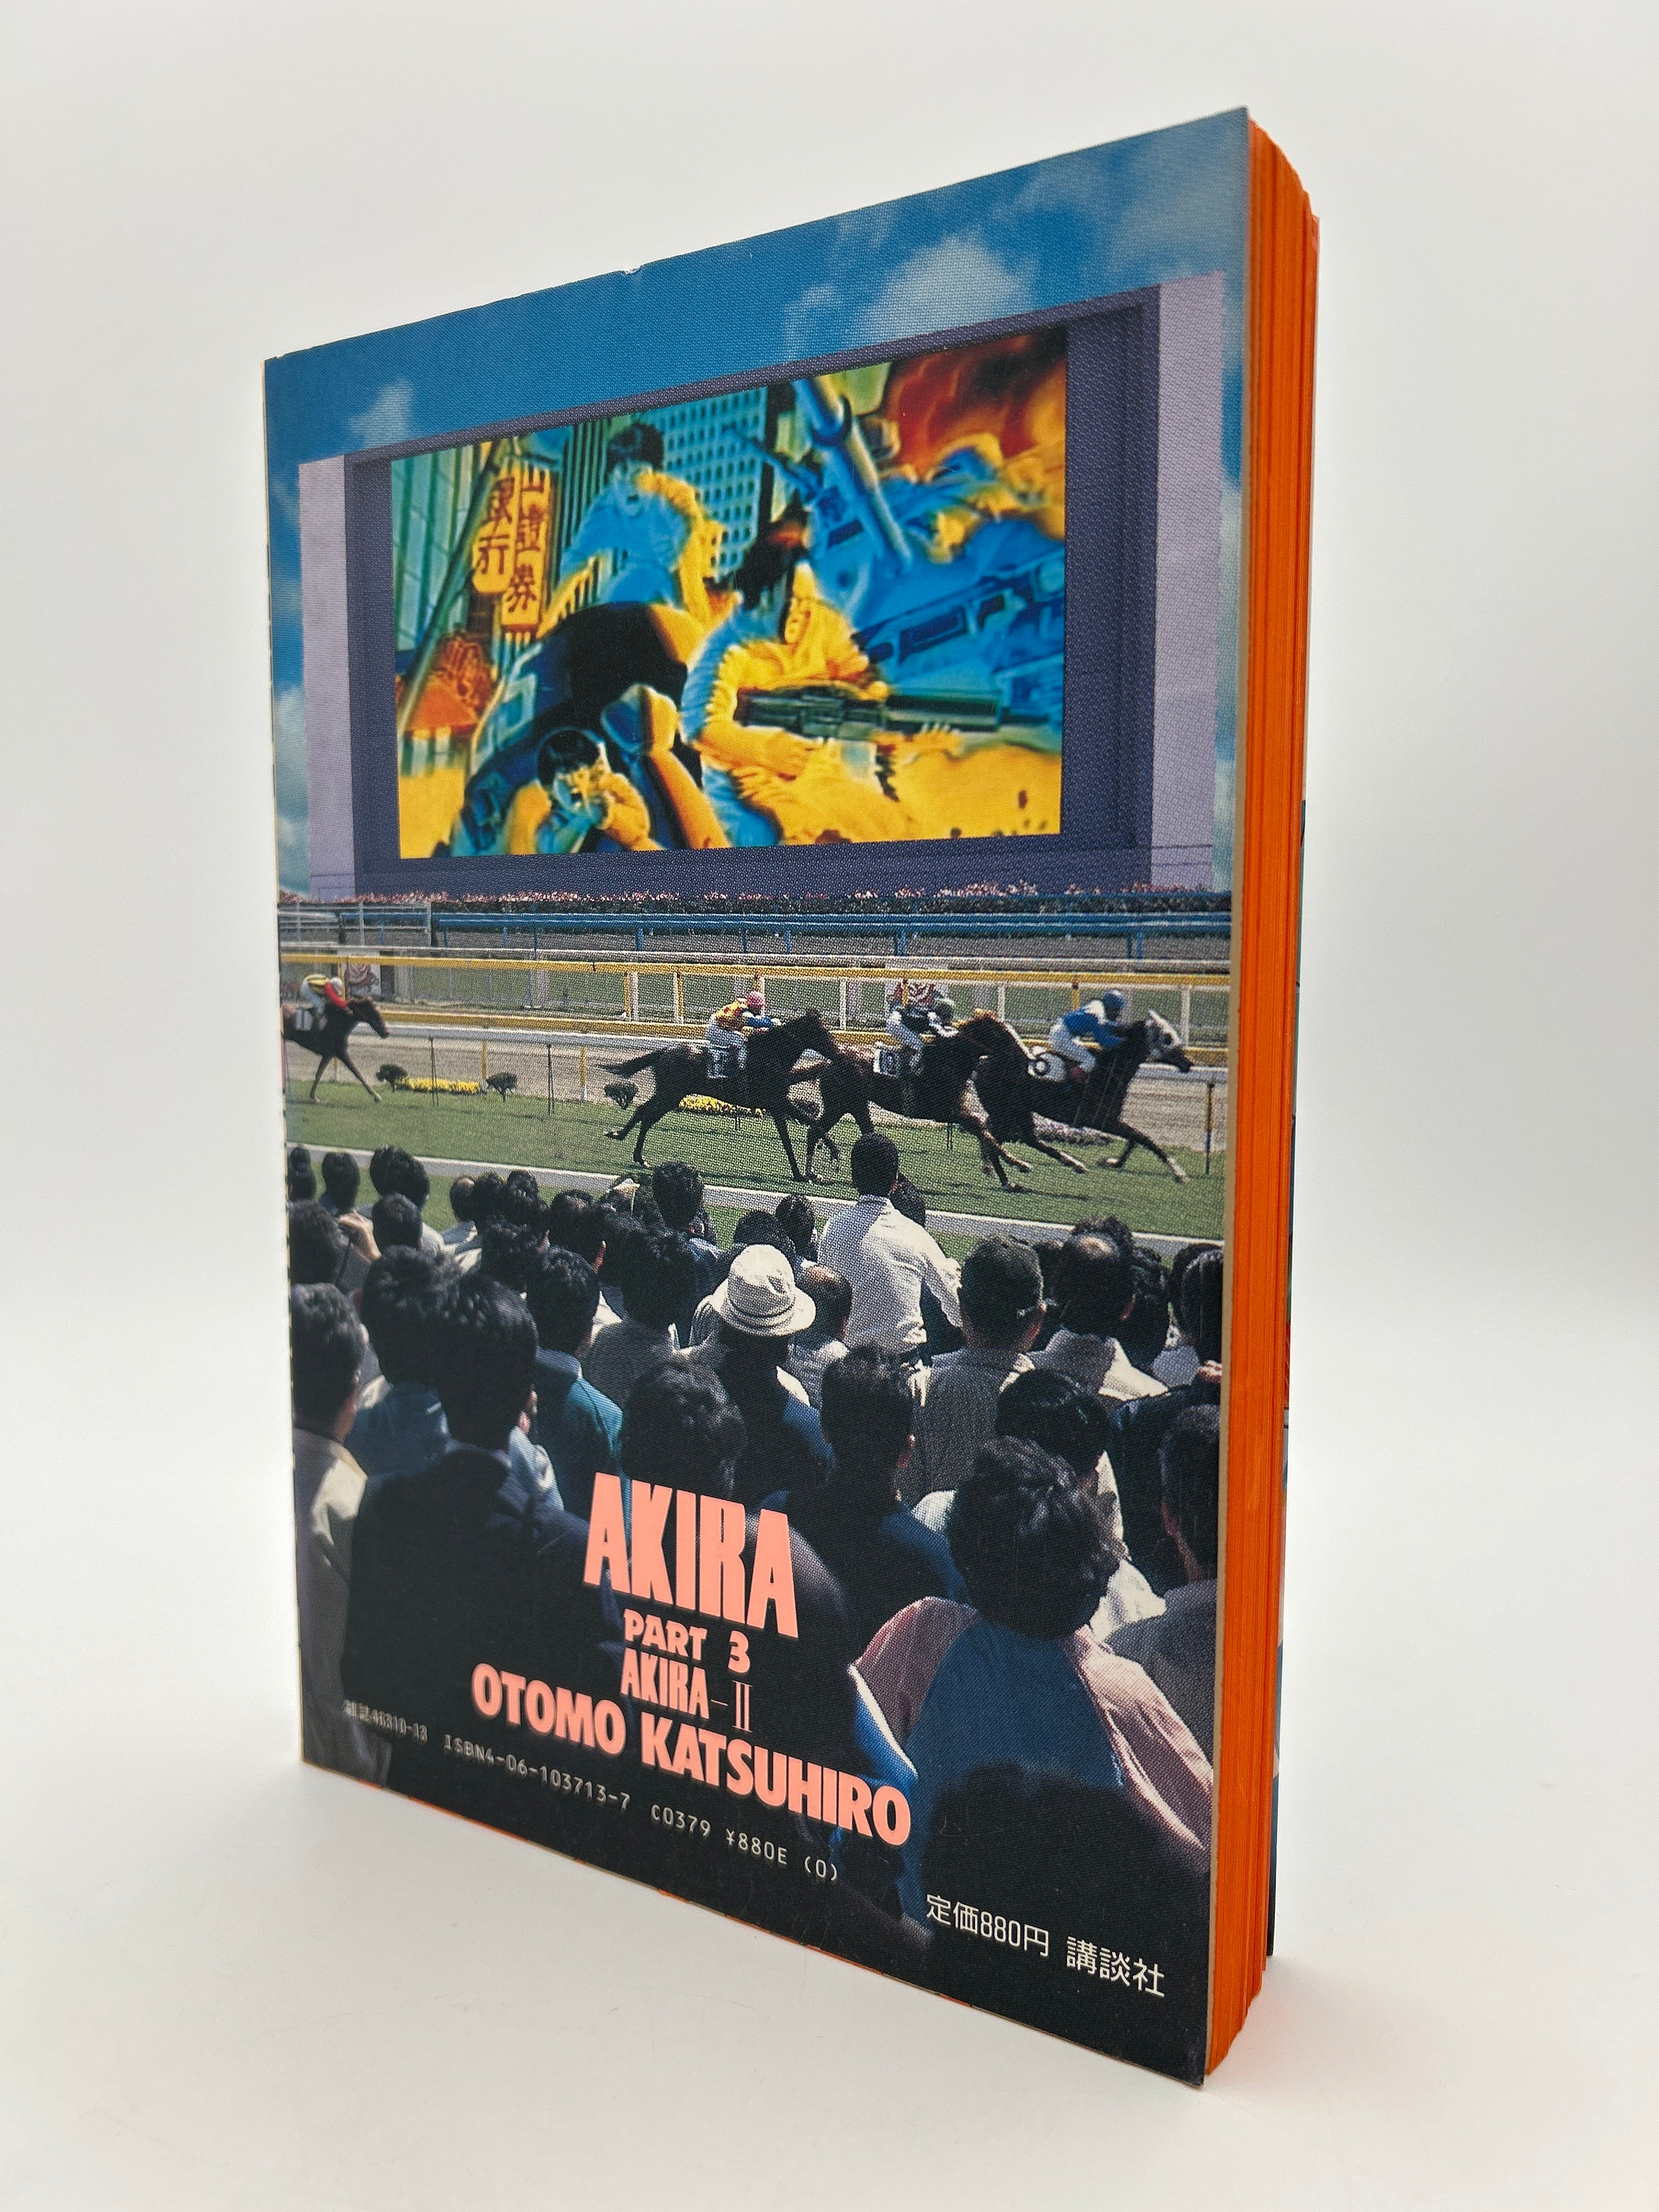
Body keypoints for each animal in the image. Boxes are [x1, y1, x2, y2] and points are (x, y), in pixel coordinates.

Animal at [281, 995, 391, 1102]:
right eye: (373, 1013)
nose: (387, 1032)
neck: (338, 1021)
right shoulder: (341, 1053)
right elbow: (357, 1073)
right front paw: (377, 1096)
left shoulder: (329, 1054)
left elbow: (319, 1073)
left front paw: (314, 1097)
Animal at [603, 1009, 842, 1182]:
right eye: (822, 1032)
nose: (839, 1052)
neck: (771, 1055)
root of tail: (664, 1052)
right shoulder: (778, 1102)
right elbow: (811, 1124)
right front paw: (831, 1155)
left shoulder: (776, 1106)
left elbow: (789, 1136)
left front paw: (801, 1173)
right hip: (670, 1093)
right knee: (644, 1112)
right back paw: (622, 1140)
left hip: (670, 1095)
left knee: (647, 1115)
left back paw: (637, 1154)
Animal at [800, 1009, 1031, 1188]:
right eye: (1001, 1033)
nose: (1025, 1054)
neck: (952, 1061)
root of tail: (833, 1059)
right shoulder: (949, 1112)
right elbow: (986, 1134)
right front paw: (1019, 1164)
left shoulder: (958, 1112)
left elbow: (985, 1134)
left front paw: (1007, 1180)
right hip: (846, 1104)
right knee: (823, 1131)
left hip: (847, 1105)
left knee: (823, 1131)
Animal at [969, 1011, 1195, 1179]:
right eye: (1167, 1037)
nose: (1188, 1063)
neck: (1108, 1071)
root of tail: (983, 1061)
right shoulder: (1103, 1120)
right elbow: (1144, 1139)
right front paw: (1178, 1172)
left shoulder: (1112, 1119)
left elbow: (1135, 1140)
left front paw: (1112, 1162)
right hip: (1006, 1110)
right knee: (999, 1134)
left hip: (1018, 1110)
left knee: (1014, 1136)